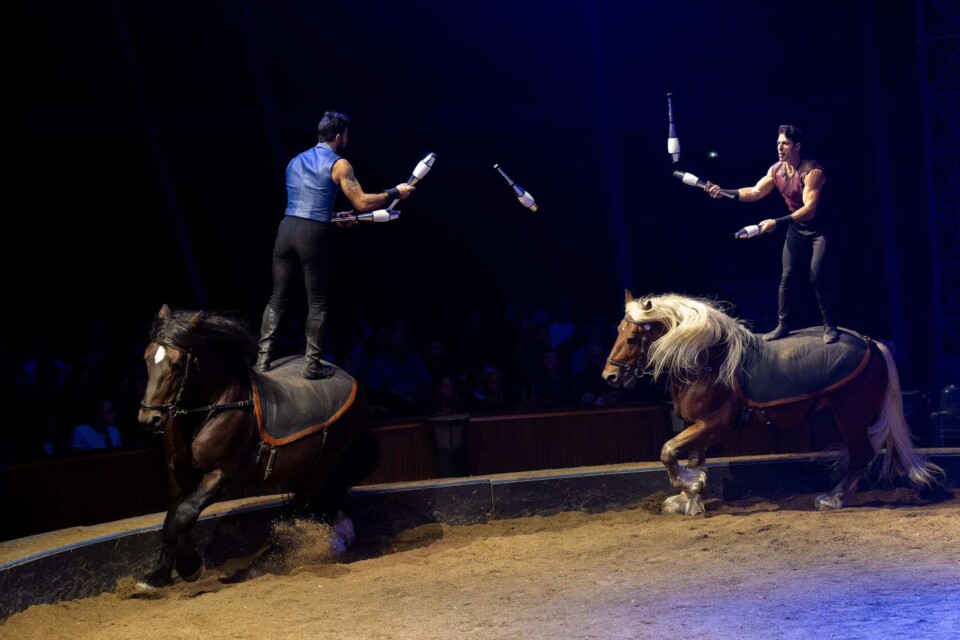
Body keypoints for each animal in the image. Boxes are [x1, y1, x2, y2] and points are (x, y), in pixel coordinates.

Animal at [137, 304, 376, 584]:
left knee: (305, 509)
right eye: (147, 358)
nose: (149, 419)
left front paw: (190, 567)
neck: (216, 405)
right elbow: (170, 522)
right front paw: (158, 576)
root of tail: (352, 379)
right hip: (305, 468)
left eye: (177, 365)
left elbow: (185, 514)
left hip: (324, 465)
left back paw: (270, 561)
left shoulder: (222, 474)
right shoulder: (179, 475)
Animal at [604, 290, 940, 516]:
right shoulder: (696, 427)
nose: (610, 376)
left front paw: (692, 488)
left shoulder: (713, 425)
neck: (707, 362)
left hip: (850, 413)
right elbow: (691, 459)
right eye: (617, 332)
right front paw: (690, 499)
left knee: (861, 454)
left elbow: (668, 451)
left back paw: (834, 498)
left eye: (632, 339)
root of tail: (872, 343)